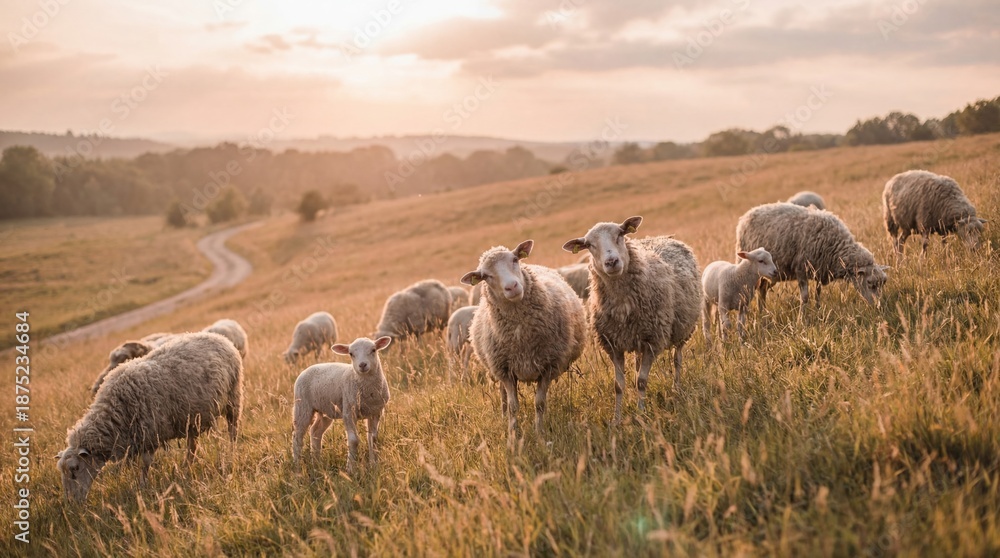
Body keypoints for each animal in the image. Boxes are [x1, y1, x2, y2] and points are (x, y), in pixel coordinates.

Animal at [58, 332, 243, 502]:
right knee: (192, 445)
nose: (71, 502)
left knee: (232, 430)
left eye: (75, 469)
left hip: (233, 397)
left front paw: (142, 486)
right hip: (191, 418)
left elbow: (145, 464)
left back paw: (231, 452)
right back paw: (186, 467)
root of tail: (217, 336)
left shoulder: (150, 435)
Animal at [291, 336, 392, 472]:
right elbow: (354, 440)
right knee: (297, 436)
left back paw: (317, 463)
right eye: (351, 354)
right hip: (302, 407)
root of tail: (306, 369)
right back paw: (297, 466)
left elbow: (373, 439)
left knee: (315, 432)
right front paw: (350, 469)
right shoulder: (349, 411)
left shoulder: (376, 412)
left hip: (326, 411)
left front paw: (373, 465)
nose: (362, 365)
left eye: (373, 350)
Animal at [462, 240, 587, 441]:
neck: (522, 338)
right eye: (485, 276)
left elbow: (540, 403)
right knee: (503, 396)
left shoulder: (548, 367)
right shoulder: (505, 370)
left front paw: (539, 433)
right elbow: (513, 407)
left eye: (514, 259)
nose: (512, 286)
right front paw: (513, 433)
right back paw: (503, 415)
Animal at [563, 216, 701, 423]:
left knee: (677, 359)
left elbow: (641, 381)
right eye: (588, 245)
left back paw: (676, 388)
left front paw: (641, 413)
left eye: (620, 234)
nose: (611, 261)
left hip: (682, 329)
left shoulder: (653, 340)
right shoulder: (613, 345)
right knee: (638, 364)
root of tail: (664, 237)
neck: (623, 305)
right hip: (638, 338)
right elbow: (618, 385)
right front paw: (616, 419)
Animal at [735, 202, 889, 317]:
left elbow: (817, 294)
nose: (879, 307)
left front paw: (818, 310)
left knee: (762, 290)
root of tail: (746, 215)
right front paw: (802, 320)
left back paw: (763, 313)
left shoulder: (819, 270)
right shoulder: (801, 269)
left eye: (883, 283)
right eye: (869, 283)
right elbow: (805, 297)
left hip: (771, 274)